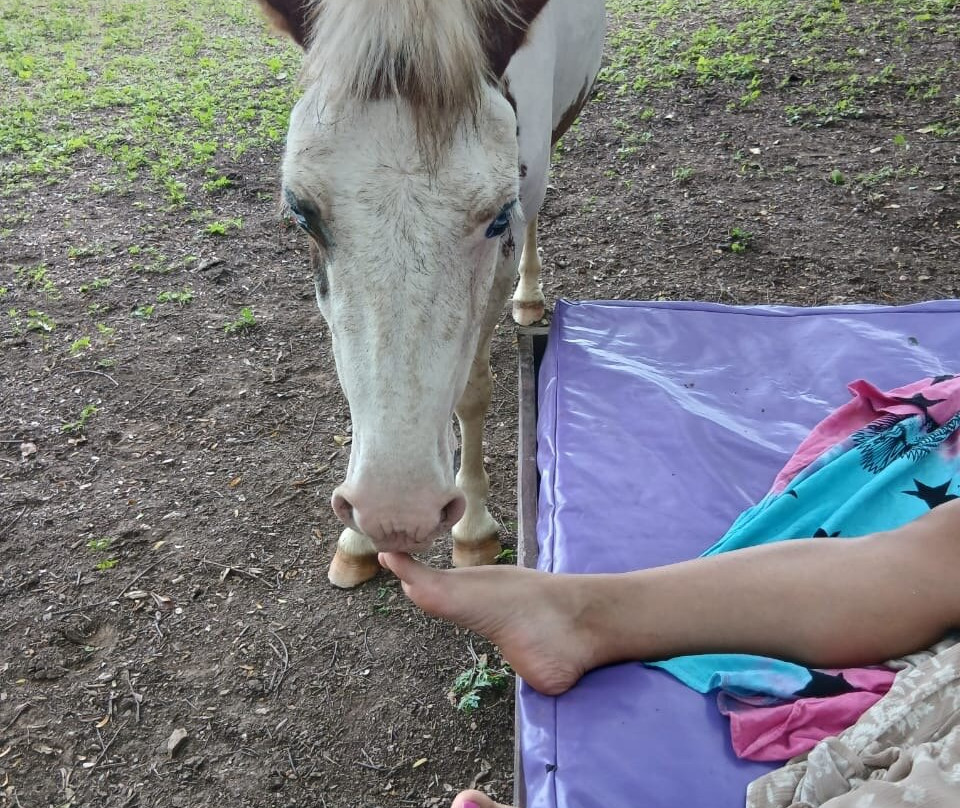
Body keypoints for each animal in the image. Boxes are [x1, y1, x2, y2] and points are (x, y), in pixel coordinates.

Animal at [257, 0, 606, 587]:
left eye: (497, 218)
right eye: (301, 213)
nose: (397, 514)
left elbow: (471, 390)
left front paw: (474, 532)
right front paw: (357, 540)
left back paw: (529, 297)